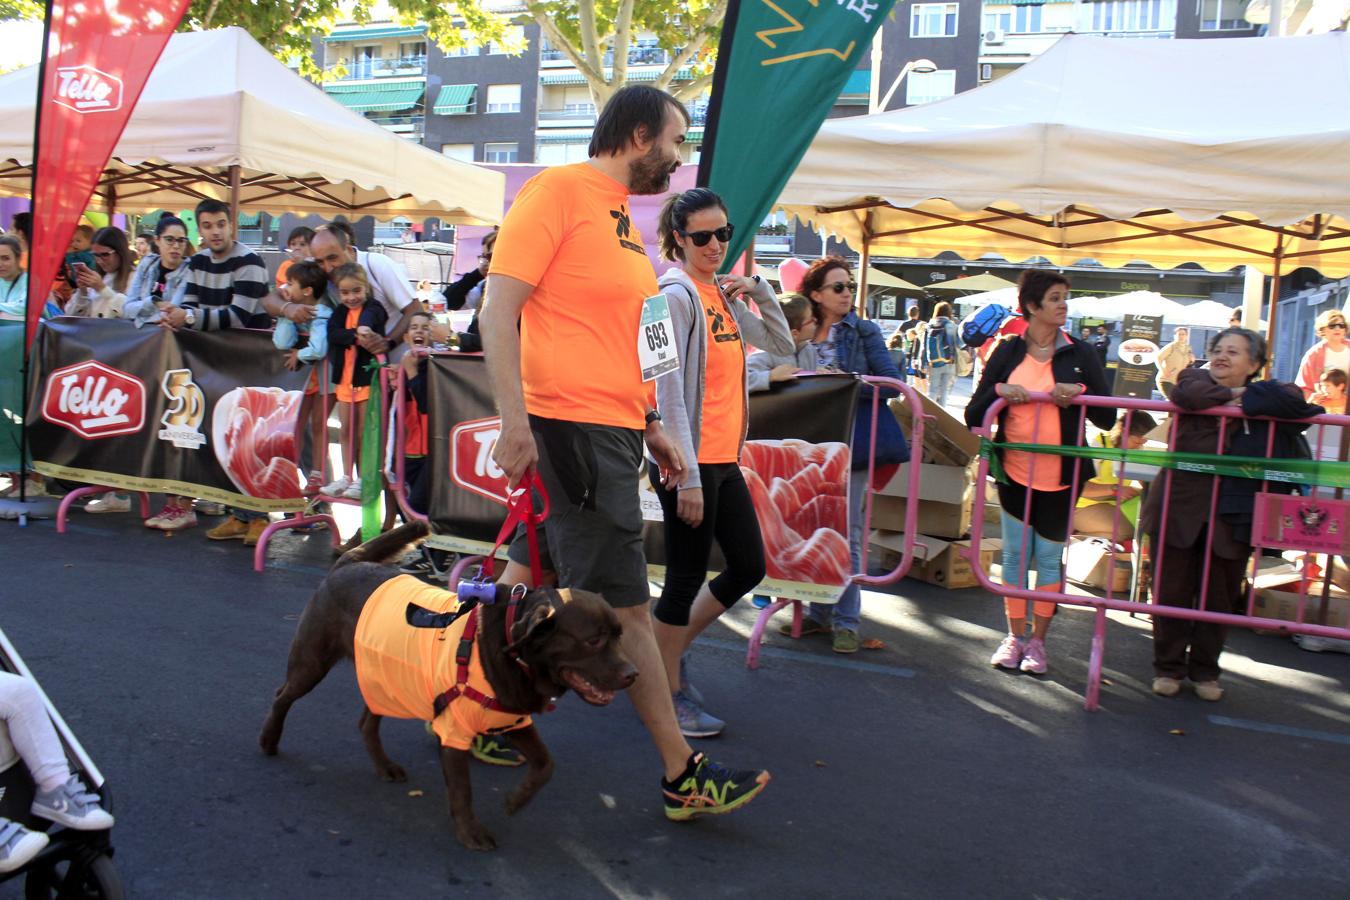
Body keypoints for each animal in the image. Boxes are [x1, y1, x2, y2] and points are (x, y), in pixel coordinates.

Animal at [257, 520, 637, 852]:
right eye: (593, 640)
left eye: (620, 635)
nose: (632, 673)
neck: (510, 646)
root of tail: (348, 563)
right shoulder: (455, 730)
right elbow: (463, 789)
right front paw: (471, 832)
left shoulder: (511, 716)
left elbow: (546, 764)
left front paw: (516, 800)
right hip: (312, 663)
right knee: (282, 696)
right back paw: (269, 740)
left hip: (386, 680)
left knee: (366, 722)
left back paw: (384, 766)